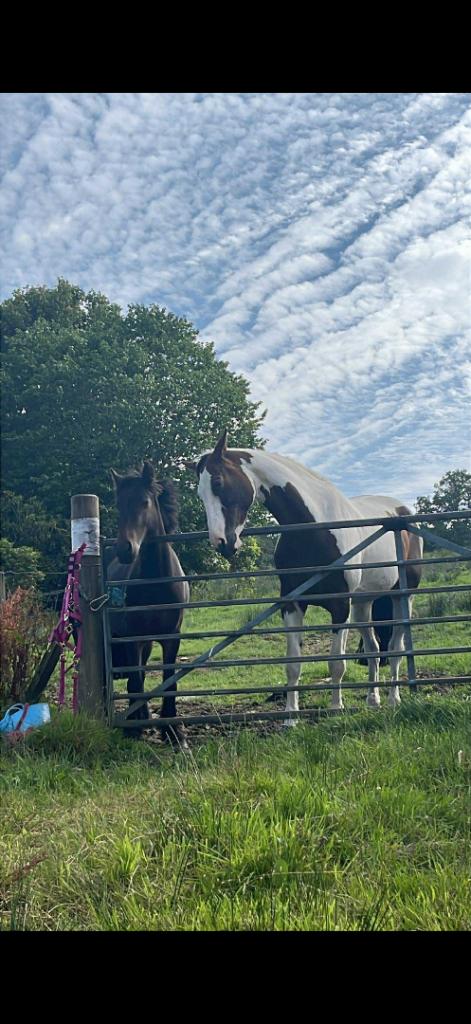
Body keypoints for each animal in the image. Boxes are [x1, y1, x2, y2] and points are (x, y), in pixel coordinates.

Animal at [107, 460, 189, 748]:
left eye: (144, 502)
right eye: (119, 505)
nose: (124, 549)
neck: (157, 581)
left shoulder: (171, 637)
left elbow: (169, 680)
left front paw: (173, 731)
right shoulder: (133, 639)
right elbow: (135, 679)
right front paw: (136, 726)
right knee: (136, 678)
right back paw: (137, 717)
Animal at [184, 430, 423, 725]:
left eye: (218, 482)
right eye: (200, 493)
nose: (222, 543)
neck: (314, 526)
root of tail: (402, 511)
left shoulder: (339, 605)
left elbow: (336, 662)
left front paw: (335, 709)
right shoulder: (292, 603)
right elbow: (293, 663)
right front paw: (290, 717)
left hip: (402, 597)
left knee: (395, 647)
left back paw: (393, 699)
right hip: (363, 604)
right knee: (374, 649)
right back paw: (372, 700)